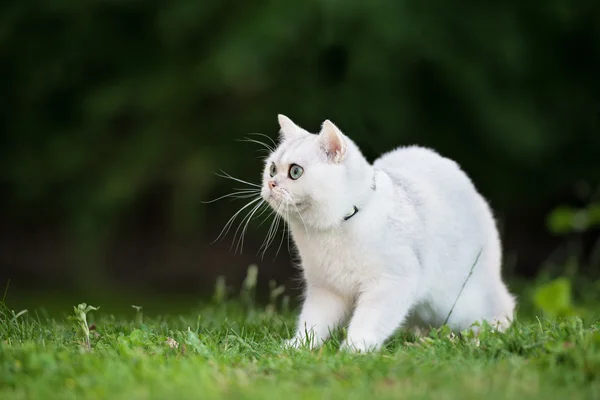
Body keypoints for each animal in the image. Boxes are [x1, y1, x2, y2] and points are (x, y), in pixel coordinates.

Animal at [260, 114, 512, 352]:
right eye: (272, 169)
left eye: (295, 171)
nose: (271, 184)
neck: (331, 230)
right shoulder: (326, 290)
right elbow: (313, 322)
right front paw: (298, 346)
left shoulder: (391, 283)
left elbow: (368, 320)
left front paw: (355, 349)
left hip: (463, 303)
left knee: (503, 307)